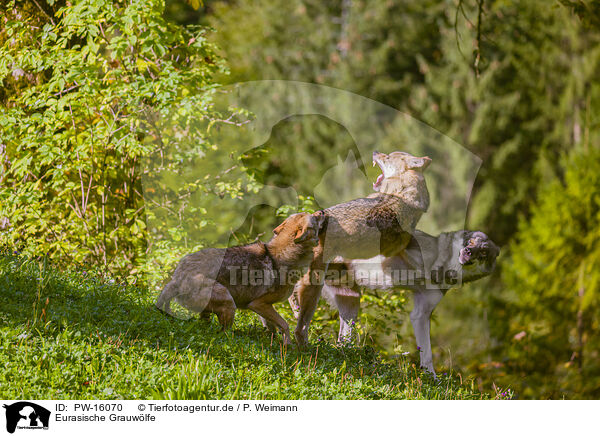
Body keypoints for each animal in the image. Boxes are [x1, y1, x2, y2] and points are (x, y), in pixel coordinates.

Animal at [155, 211, 324, 344]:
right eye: (313, 217)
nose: (322, 212)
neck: (285, 254)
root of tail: (177, 278)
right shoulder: (258, 304)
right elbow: (285, 325)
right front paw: (288, 346)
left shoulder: (263, 307)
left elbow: (271, 328)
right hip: (229, 303)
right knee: (223, 333)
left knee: (206, 325)